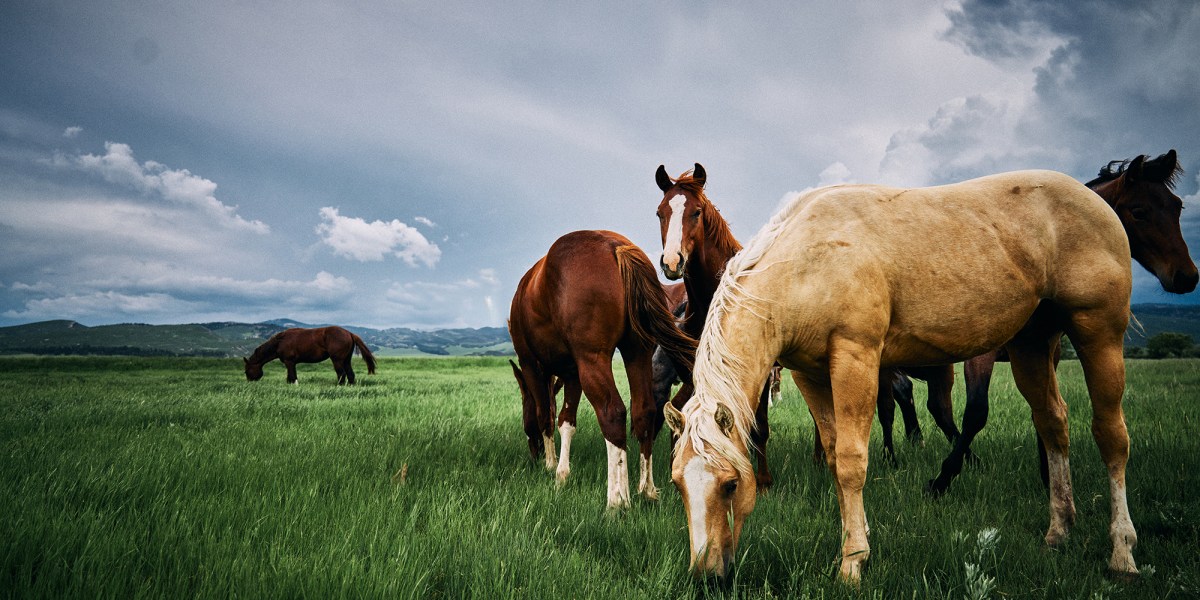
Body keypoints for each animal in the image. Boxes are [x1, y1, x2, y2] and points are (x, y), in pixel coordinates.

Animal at [244, 326, 376, 385]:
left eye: (246, 371)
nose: (250, 382)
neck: (280, 342)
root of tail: (349, 333)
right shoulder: (291, 363)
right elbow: (291, 376)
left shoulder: (289, 362)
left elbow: (292, 376)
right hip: (346, 360)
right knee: (350, 374)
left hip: (337, 360)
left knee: (341, 374)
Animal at [508, 230, 697, 509]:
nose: (535, 454)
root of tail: (616, 247)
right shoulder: (572, 372)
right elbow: (566, 420)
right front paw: (562, 473)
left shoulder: (531, 364)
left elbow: (545, 415)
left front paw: (551, 465)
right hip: (636, 352)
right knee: (644, 412)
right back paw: (646, 489)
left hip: (593, 360)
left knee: (613, 414)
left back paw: (618, 500)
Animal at [662, 169, 1137, 583]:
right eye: (677, 484)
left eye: (730, 485)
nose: (706, 576)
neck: (805, 263)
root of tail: (1094, 199)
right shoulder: (810, 375)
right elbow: (833, 455)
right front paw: (856, 540)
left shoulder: (856, 359)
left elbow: (852, 462)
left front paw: (853, 562)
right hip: (1032, 345)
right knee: (1054, 424)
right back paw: (1059, 531)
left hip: (1099, 334)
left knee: (1112, 436)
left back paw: (1122, 551)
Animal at [926, 150, 1198, 495]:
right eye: (1139, 211)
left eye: (1177, 207)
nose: (1187, 276)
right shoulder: (982, 356)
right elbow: (976, 413)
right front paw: (943, 478)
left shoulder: (1048, 351)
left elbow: (1043, 410)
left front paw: (1049, 475)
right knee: (941, 410)